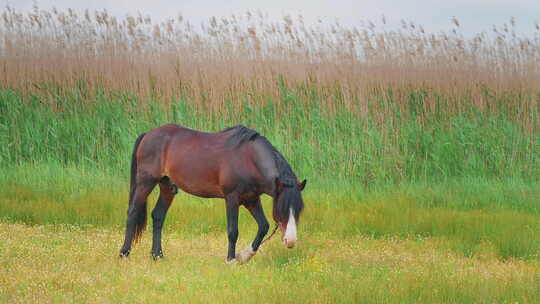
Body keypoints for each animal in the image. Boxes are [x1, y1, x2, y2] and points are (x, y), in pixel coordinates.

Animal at [119, 123, 308, 264]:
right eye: (281, 210)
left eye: (299, 209)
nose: (290, 241)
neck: (249, 158)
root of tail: (148, 134)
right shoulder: (232, 198)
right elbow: (233, 231)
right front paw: (231, 259)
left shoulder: (252, 199)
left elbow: (263, 226)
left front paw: (244, 256)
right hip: (146, 182)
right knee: (133, 212)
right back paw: (124, 253)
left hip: (167, 187)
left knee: (158, 216)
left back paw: (157, 255)